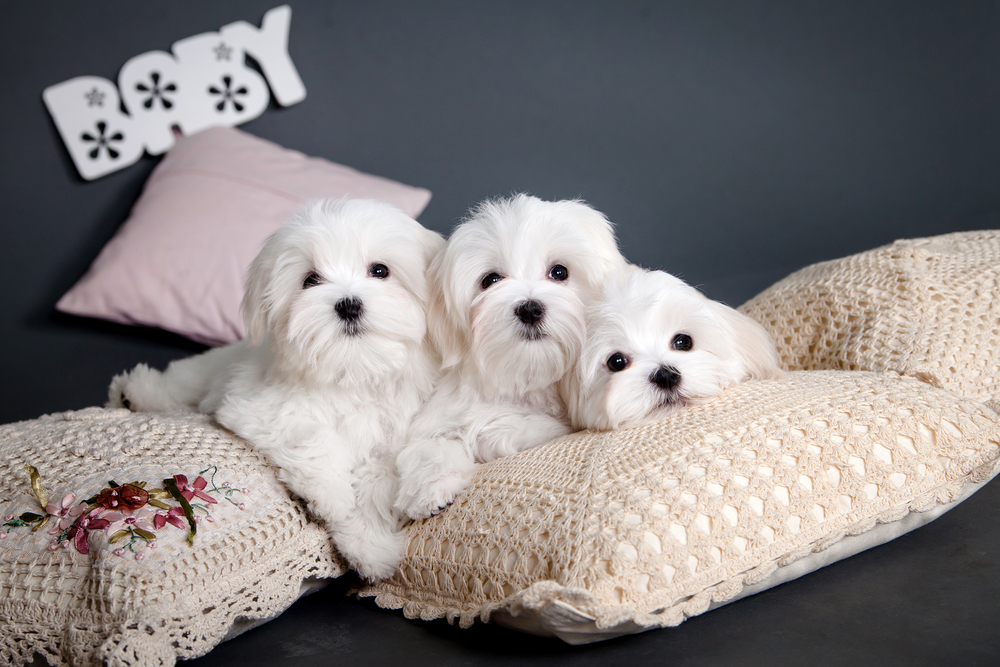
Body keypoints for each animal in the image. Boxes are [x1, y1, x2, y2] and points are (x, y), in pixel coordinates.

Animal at [106, 198, 446, 580]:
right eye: (310, 279)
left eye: (380, 270)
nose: (348, 304)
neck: (352, 368)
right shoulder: (256, 406)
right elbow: (313, 434)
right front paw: (331, 494)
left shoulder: (389, 441)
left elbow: (374, 488)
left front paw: (368, 546)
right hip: (207, 372)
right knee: (181, 383)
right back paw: (134, 393)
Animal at [396, 196, 624, 520]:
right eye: (490, 280)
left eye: (559, 272)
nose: (530, 308)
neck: (524, 371)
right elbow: (430, 445)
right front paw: (431, 487)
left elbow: (527, 427)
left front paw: (487, 435)